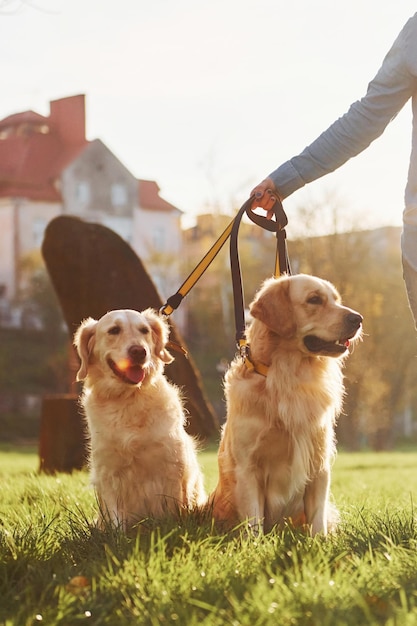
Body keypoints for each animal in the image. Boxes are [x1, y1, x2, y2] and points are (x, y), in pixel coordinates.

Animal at [74, 308, 206, 528]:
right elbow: (116, 521)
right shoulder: (108, 471)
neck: (129, 399)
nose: (139, 351)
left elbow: (174, 509)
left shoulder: (172, 465)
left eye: (144, 330)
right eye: (114, 330)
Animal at [210, 272, 362, 532]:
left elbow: (317, 521)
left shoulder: (318, 463)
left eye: (336, 299)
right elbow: (253, 523)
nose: (358, 319)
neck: (288, 375)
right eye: (314, 299)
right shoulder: (248, 467)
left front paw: (320, 541)